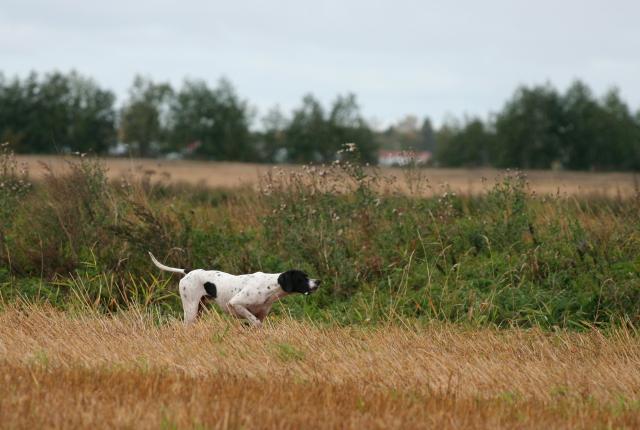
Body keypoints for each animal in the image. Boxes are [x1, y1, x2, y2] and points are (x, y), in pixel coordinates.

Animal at [149, 252, 320, 326]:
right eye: (302, 278)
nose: (318, 281)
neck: (270, 287)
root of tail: (189, 271)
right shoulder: (235, 303)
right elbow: (254, 321)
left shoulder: (261, 314)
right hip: (191, 309)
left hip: (200, 309)